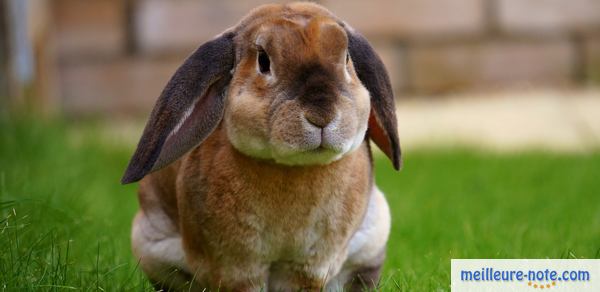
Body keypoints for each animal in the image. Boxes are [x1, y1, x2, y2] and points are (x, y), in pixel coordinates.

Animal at [122, 1, 400, 290]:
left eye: (346, 59)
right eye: (263, 61)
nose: (322, 115)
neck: (292, 169)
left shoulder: (308, 267)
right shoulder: (237, 266)